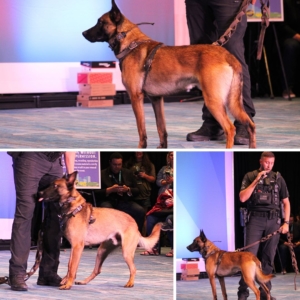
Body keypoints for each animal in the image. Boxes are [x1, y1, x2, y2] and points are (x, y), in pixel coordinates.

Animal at [82, 0, 255, 149]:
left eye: (100, 22)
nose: (83, 33)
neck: (131, 43)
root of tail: (228, 55)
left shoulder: (136, 97)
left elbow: (141, 130)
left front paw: (141, 148)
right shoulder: (157, 99)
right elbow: (161, 128)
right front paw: (162, 147)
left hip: (213, 100)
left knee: (230, 128)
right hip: (231, 102)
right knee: (251, 125)